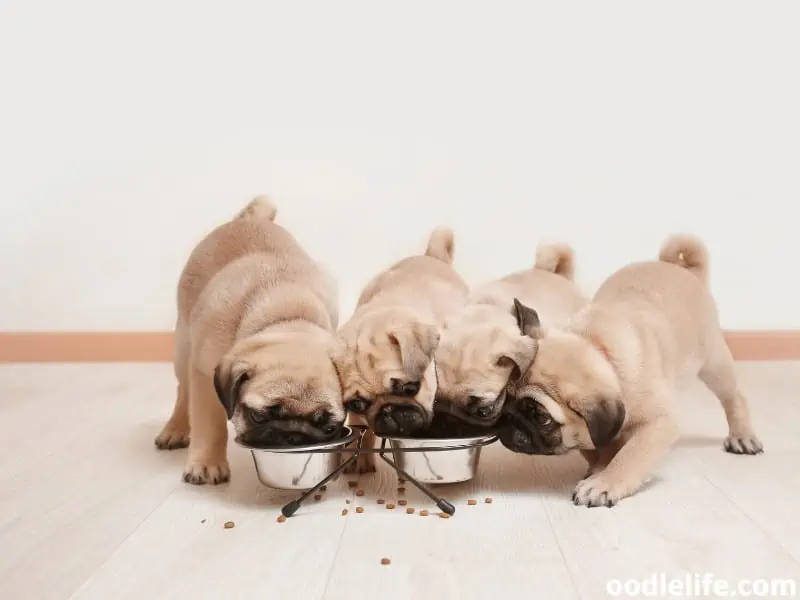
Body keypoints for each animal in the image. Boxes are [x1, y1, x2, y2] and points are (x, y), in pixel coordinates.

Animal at [155, 199, 344, 486]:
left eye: (329, 426)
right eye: (258, 416)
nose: (294, 436)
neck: (287, 317)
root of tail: (249, 218)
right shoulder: (204, 376)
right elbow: (210, 425)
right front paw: (207, 464)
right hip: (184, 346)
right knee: (183, 391)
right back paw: (174, 430)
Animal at [336, 229, 472, 468]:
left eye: (410, 388)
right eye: (357, 404)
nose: (388, 410)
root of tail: (431, 255)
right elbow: (360, 427)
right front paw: (357, 456)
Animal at [500, 234, 764, 506]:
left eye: (541, 418)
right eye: (505, 396)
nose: (506, 419)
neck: (597, 347)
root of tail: (685, 270)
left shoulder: (659, 423)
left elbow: (631, 455)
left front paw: (604, 482)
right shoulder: (598, 431)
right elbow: (601, 449)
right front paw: (599, 469)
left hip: (714, 363)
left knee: (734, 397)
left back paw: (742, 436)